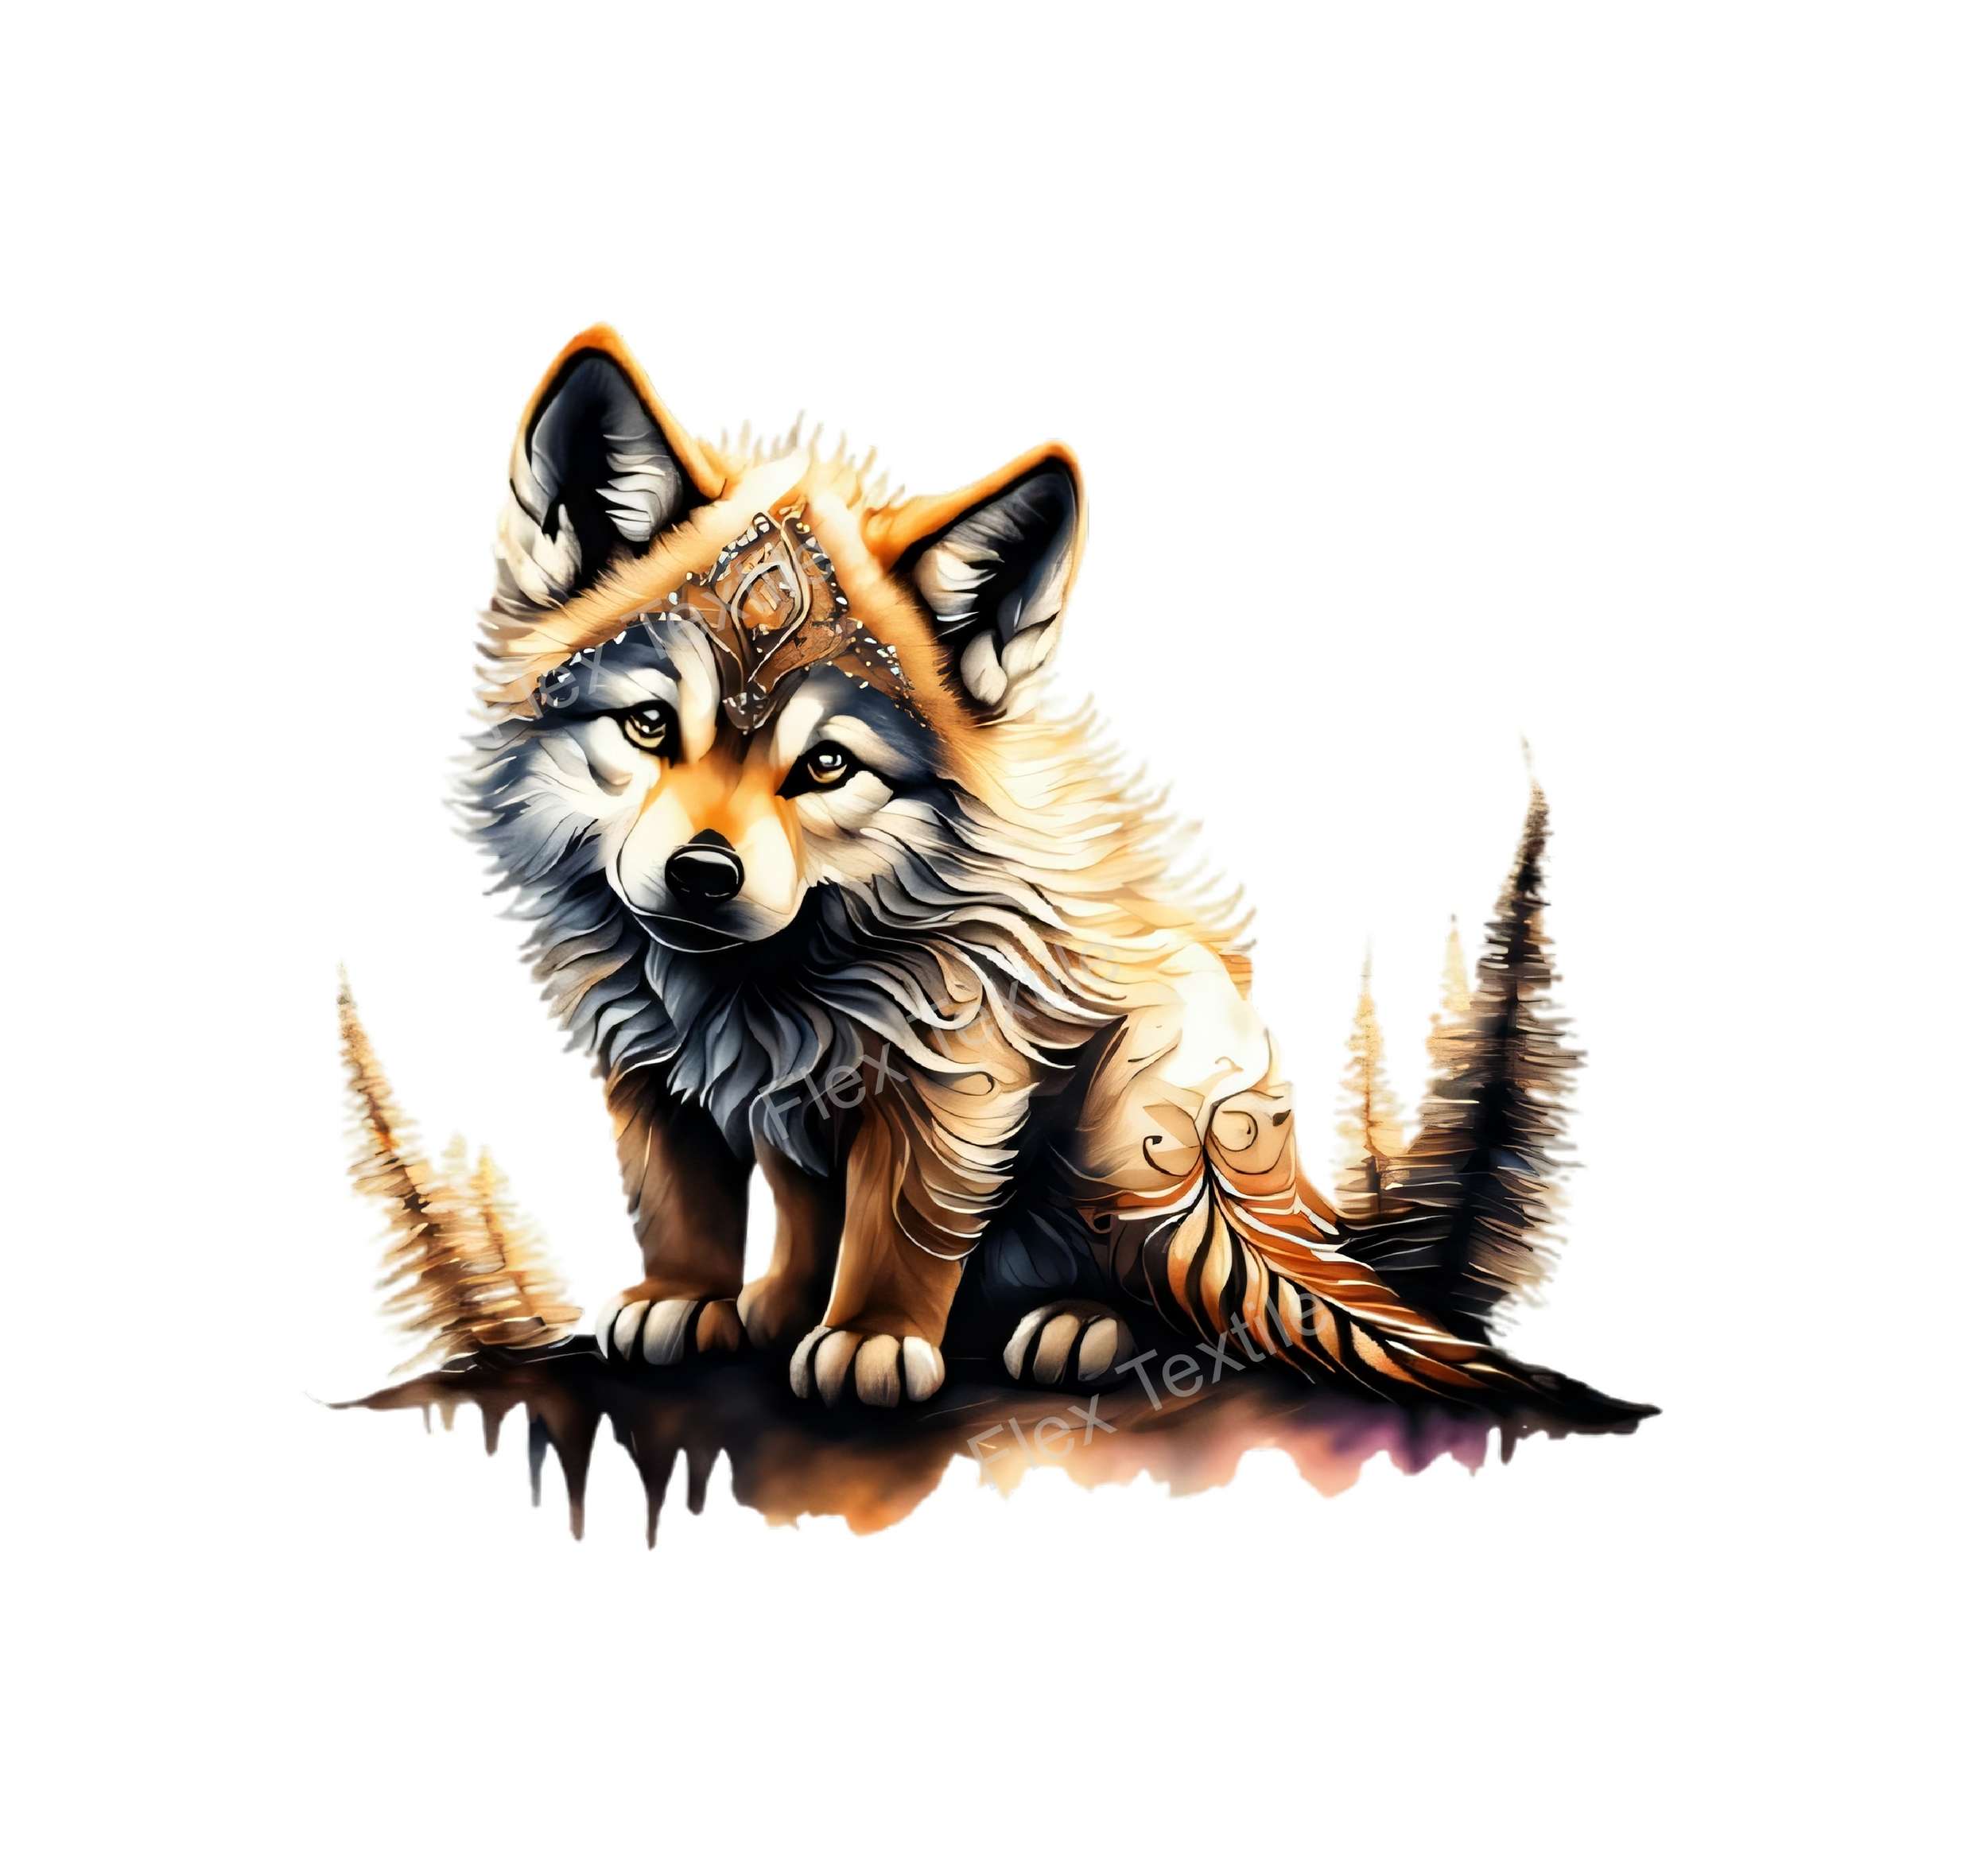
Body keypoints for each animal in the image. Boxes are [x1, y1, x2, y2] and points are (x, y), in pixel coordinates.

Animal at [462, 326, 1640, 1420]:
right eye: (650, 725)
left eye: (826, 764)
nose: (702, 874)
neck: (757, 985)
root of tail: (1290, 1200)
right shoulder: (652, 1068)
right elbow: (682, 1203)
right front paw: (691, 1297)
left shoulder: (957, 1073)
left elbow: (899, 1226)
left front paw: (873, 1336)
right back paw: (783, 1303)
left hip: (1142, 1110)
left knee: (1167, 1285)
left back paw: (1079, 1322)